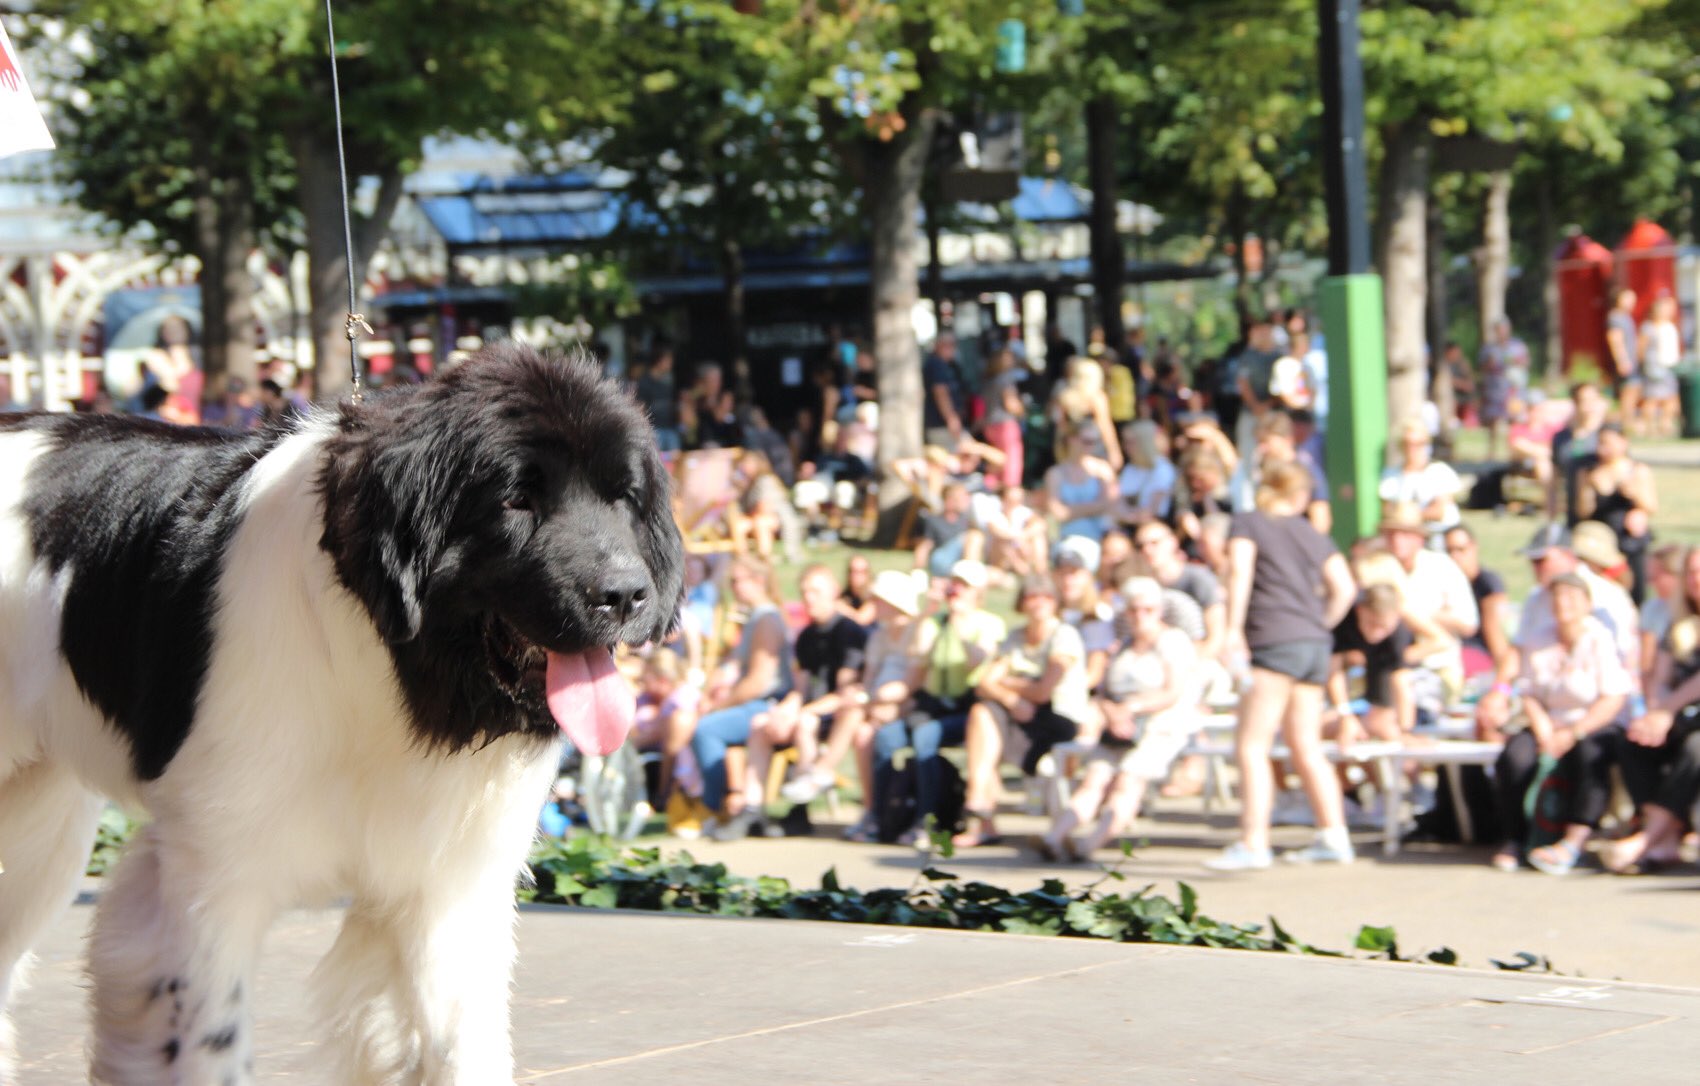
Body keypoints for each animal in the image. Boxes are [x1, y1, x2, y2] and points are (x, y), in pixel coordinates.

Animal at [0, 343, 683, 1080]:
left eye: (623, 497)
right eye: (516, 500)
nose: (625, 594)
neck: (388, 675)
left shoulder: (451, 891)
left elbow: (465, 1046)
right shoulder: (208, 876)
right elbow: (211, 1044)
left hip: (40, 831)